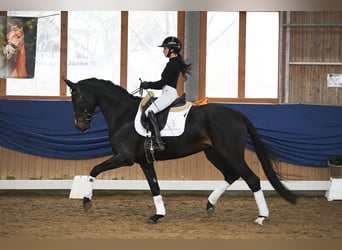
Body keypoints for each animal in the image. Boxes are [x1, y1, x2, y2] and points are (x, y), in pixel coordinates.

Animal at [65, 77, 296, 225]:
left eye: (77, 99)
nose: (80, 126)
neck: (123, 115)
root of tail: (239, 115)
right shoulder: (144, 161)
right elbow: (154, 187)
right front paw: (158, 215)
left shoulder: (125, 157)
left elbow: (94, 169)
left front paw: (86, 201)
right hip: (213, 153)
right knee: (231, 175)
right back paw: (210, 205)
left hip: (231, 153)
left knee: (252, 179)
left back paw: (261, 217)